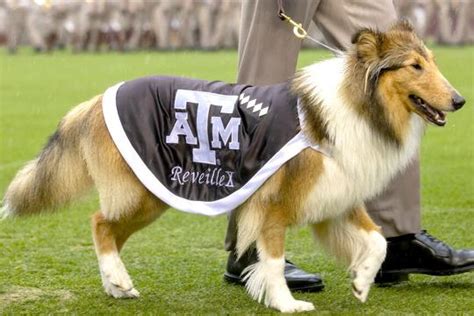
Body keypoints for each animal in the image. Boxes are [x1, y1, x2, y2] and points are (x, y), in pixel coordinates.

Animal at [0, 21, 466, 312]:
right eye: (415, 66)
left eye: (433, 62)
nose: (460, 100)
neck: (353, 106)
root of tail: (96, 100)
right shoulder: (274, 204)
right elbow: (274, 261)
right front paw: (287, 303)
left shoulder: (338, 191)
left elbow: (377, 241)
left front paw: (362, 281)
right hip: (143, 192)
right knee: (99, 223)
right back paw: (118, 279)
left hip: (150, 195)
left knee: (108, 230)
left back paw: (115, 286)